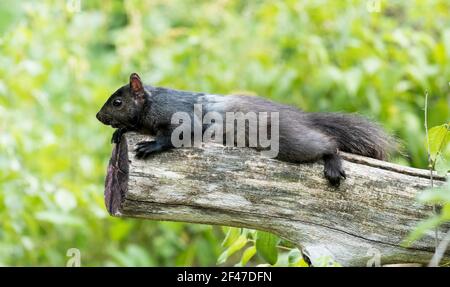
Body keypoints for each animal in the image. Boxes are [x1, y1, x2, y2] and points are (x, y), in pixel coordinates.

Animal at [96, 72, 394, 187]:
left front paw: (151, 145)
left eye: (117, 102)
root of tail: (301, 118)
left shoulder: (180, 115)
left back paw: (332, 162)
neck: (151, 102)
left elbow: (176, 135)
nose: (98, 116)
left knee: (327, 143)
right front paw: (120, 132)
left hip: (290, 142)